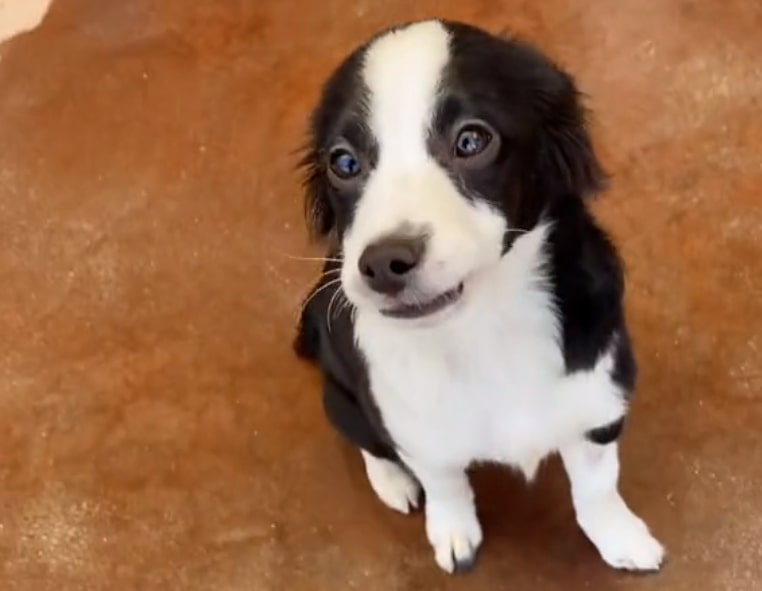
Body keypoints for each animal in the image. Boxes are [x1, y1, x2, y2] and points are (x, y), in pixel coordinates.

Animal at [294, 20, 664, 576]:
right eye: (343, 162)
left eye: (471, 140)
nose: (382, 264)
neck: (483, 329)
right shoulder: (418, 431)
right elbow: (445, 483)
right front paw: (453, 534)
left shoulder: (600, 401)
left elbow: (597, 485)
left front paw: (620, 536)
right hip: (342, 398)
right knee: (367, 443)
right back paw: (393, 482)